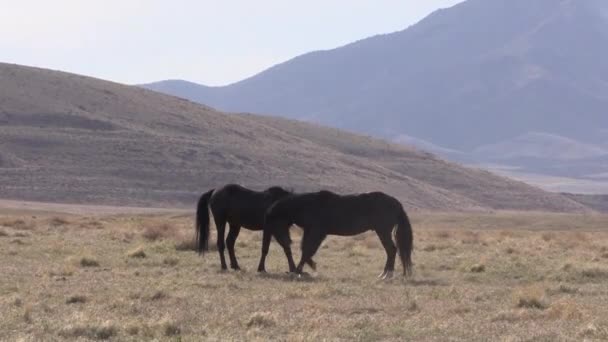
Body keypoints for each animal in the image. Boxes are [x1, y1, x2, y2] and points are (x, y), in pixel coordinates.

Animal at [256, 190, 414, 278]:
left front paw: (299, 271)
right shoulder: (310, 231)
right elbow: (305, 250)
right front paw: (305, 268)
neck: (309, 205)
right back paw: (384, 274)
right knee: (391, 251)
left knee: (391, 250)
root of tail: (397, 204)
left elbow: (307, 250)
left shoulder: (317, 232)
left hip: (383, 231)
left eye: (272, 221)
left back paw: (387, 275)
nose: (285, 242)